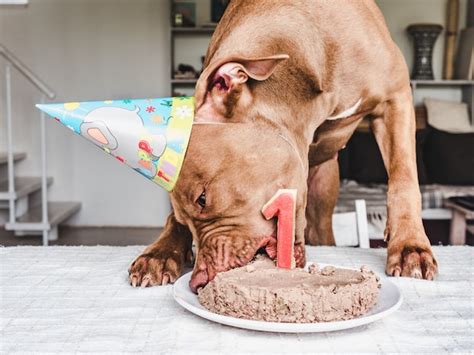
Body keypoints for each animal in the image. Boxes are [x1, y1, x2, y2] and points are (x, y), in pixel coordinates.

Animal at [129, 0, 436, 292]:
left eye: (202, 199)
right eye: (186, 217)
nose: (199, 281)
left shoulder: (395, 98)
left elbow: (403, 180)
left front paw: (410, 246)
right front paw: (163, 253)